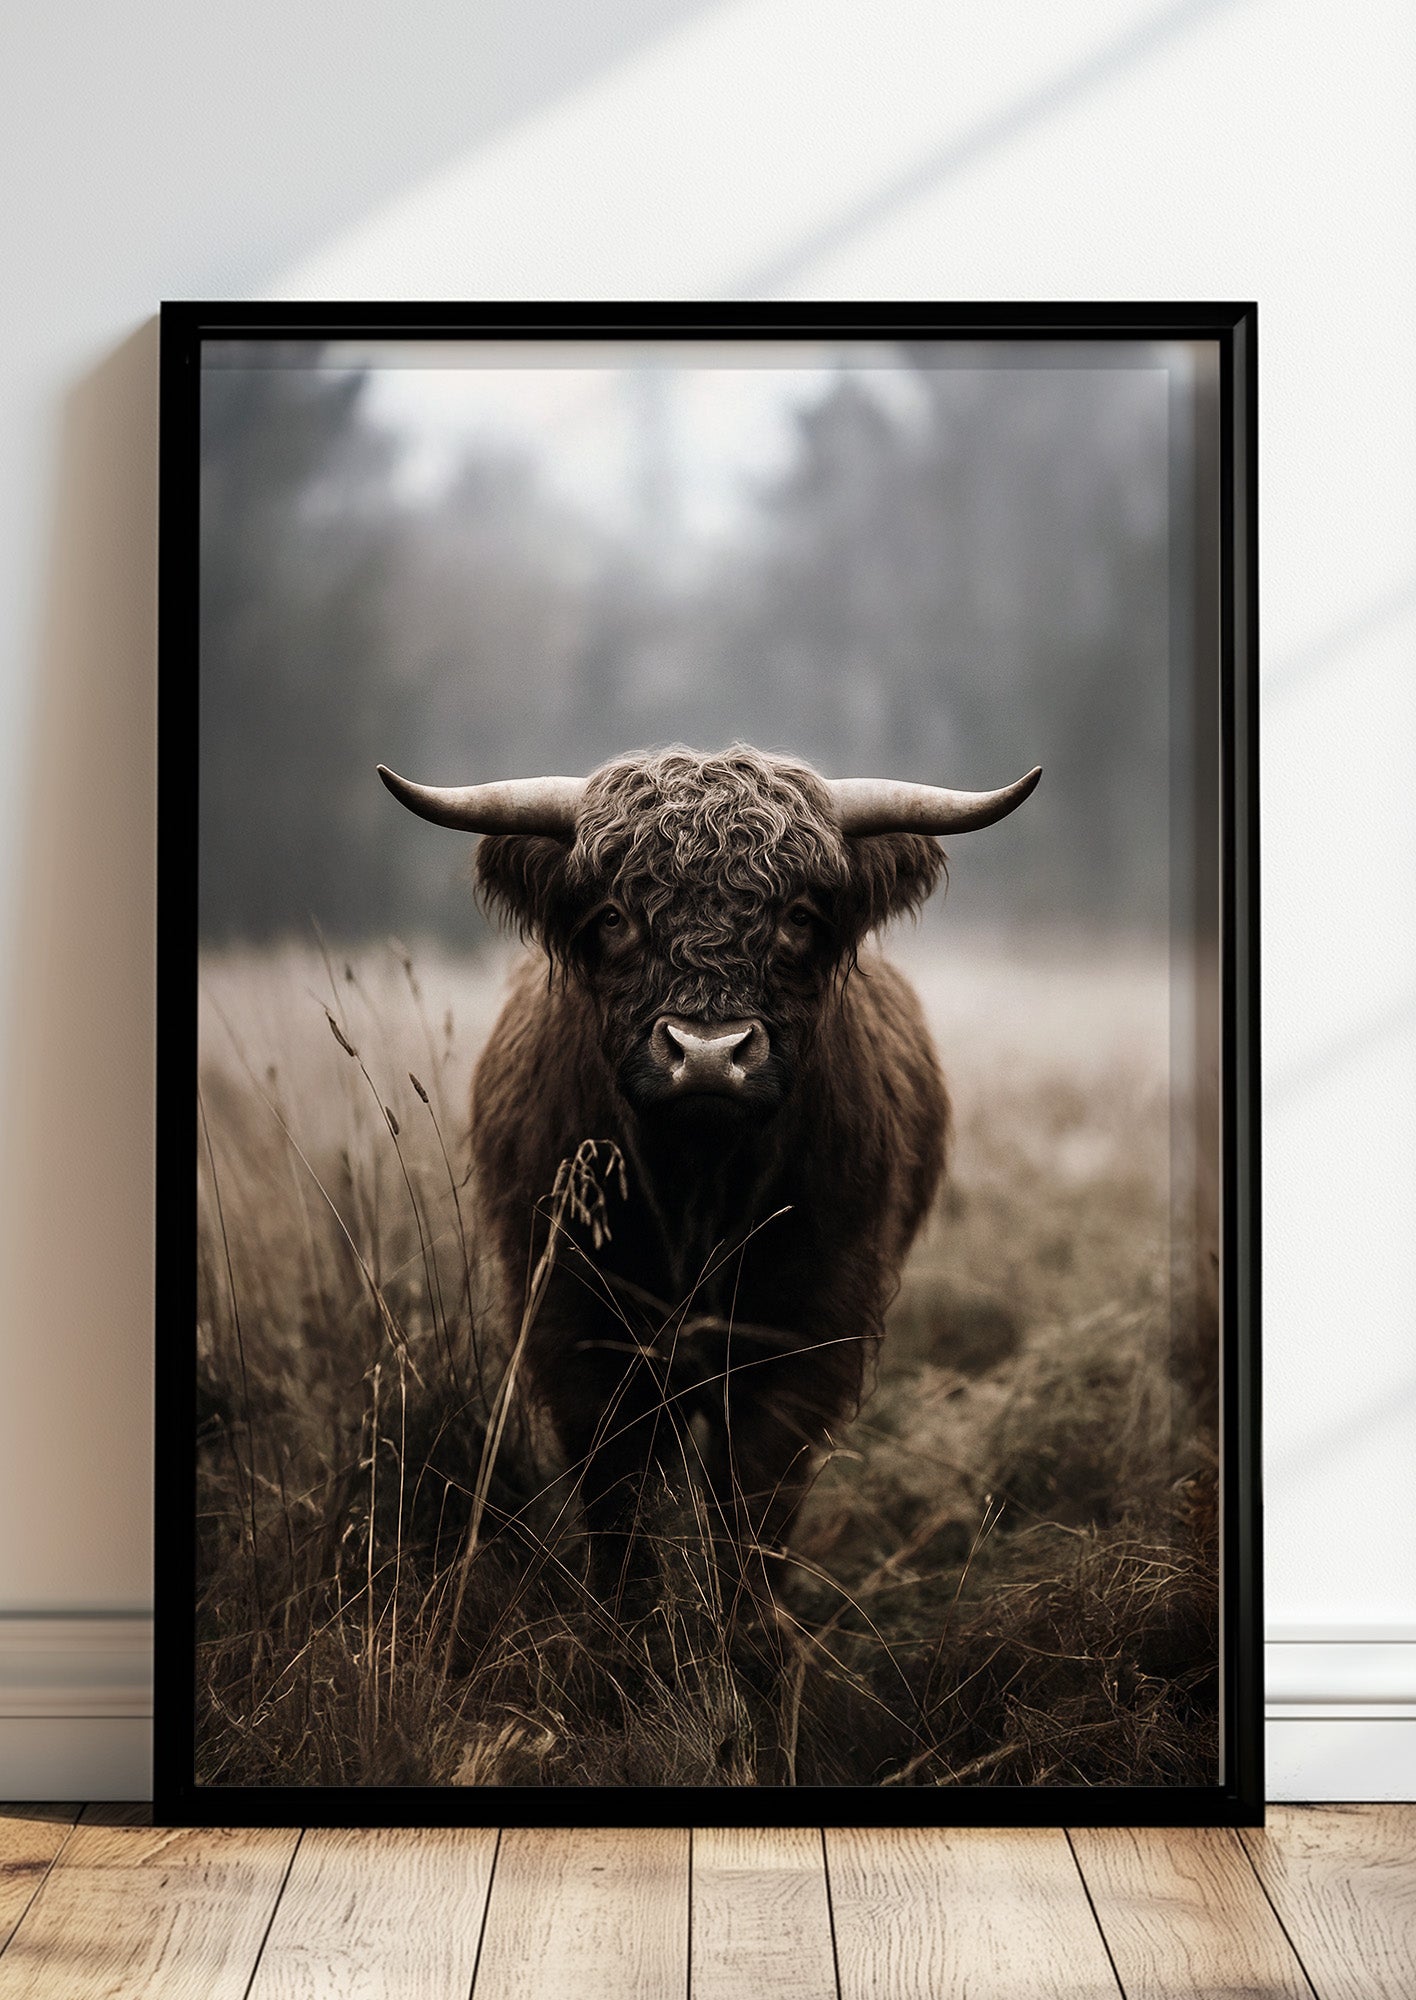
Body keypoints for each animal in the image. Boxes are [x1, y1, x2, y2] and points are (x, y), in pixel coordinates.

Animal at [379, 744, 1039, 1628]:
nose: (707, 1053)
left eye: (799, 916)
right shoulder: (573, 1334)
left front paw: (750, 1645)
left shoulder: (802, 1337)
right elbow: (618, 1508)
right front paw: (622, 1643)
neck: (695, 1185)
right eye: (614, 916)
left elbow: (753, 1510)